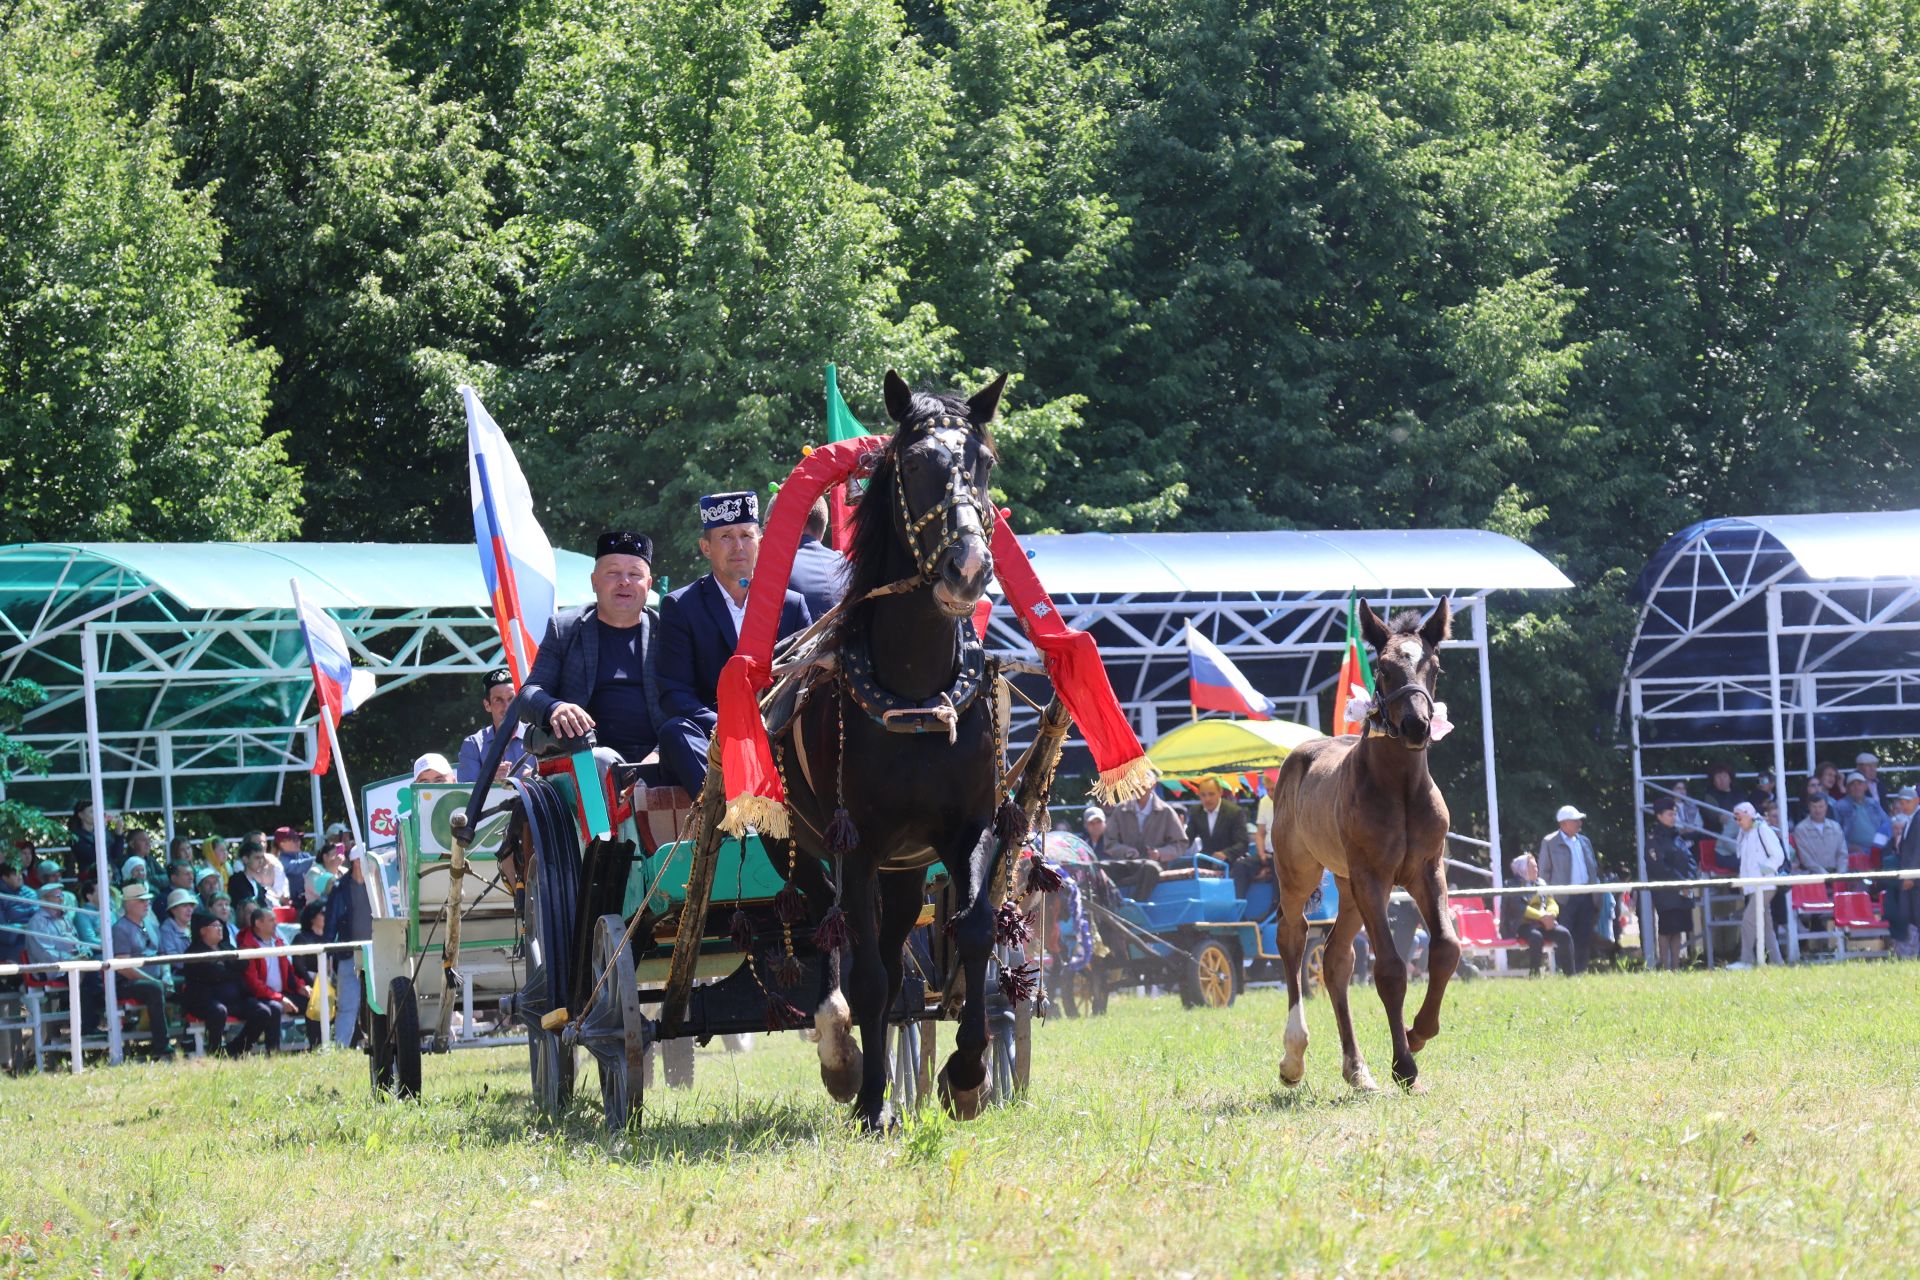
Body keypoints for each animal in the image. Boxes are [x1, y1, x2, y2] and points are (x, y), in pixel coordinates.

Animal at [764, 364, 1006, 1128]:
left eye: (983, 462)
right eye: (915, 466)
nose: (967, 567)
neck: (914, 690)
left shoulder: (968, 828)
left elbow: (974, 929)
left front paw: (967, 1072)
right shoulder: (859, 845)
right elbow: (866, 975)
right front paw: (872, 1100)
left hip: (905, 868)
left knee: (897, 953)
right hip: (807, 850)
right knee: (833, 934)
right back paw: (845, 1057)